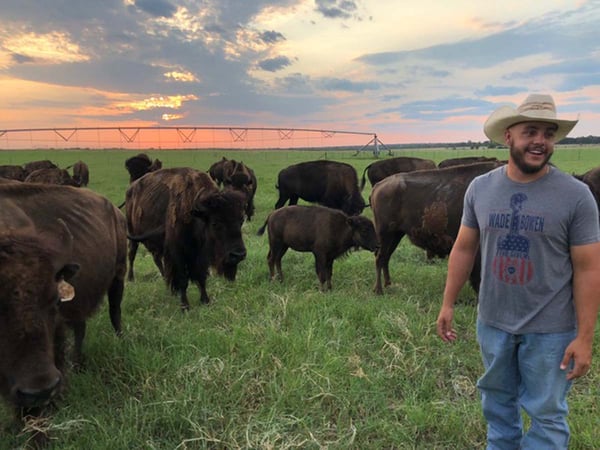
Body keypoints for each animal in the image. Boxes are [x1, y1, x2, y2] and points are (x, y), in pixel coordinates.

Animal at [0, 183, 126, 432]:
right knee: (81, 328)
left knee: (114, 311)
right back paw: (78, 364)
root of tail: (115, 210)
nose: (41, 390)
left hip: (119, 274)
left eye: (54, 300)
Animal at [125, 167, 247, 312]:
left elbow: (201, 277)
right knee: (132, 255)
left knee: (157, 260)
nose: (238, 255)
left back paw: (168, 286)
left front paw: (205, 300)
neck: (195, 215)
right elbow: (183, 279)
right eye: (215, 223)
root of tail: (131, 189)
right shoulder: (178, 253)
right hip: (133, 234)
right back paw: (131, 279)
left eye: (241, 221)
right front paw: (185, 307)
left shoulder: (200, 256)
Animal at [370, 162, 502, 296]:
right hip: (385, 234)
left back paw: (388, 284)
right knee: (380, 258)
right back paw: (379, 290)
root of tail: (378, 186)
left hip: (396, 235)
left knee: (386, 257)